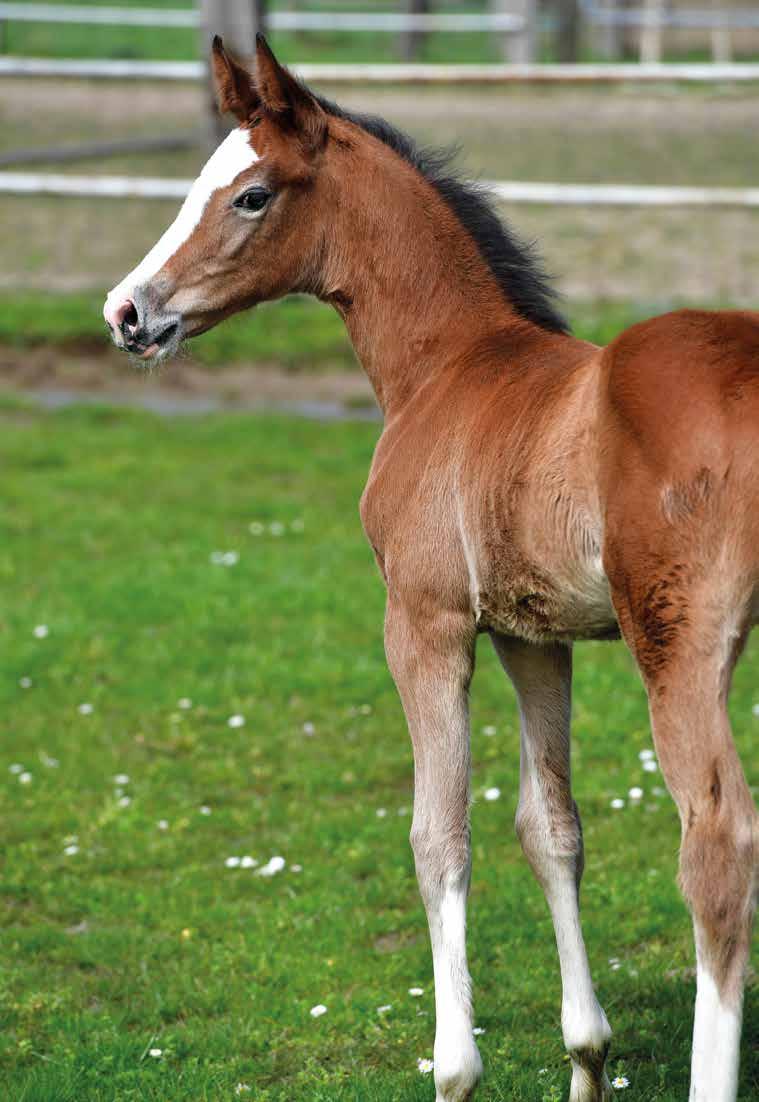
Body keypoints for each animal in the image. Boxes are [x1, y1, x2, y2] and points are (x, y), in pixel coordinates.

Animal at [103, 36, 753, 1102]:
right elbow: (551, 828)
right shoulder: (535, 637)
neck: (448, 367)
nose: (126, 311)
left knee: (715, 849)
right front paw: (585, 1056)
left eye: (251, 195)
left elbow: (437, 838)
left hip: (678, 645)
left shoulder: (423, 623)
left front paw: (454, 1068)